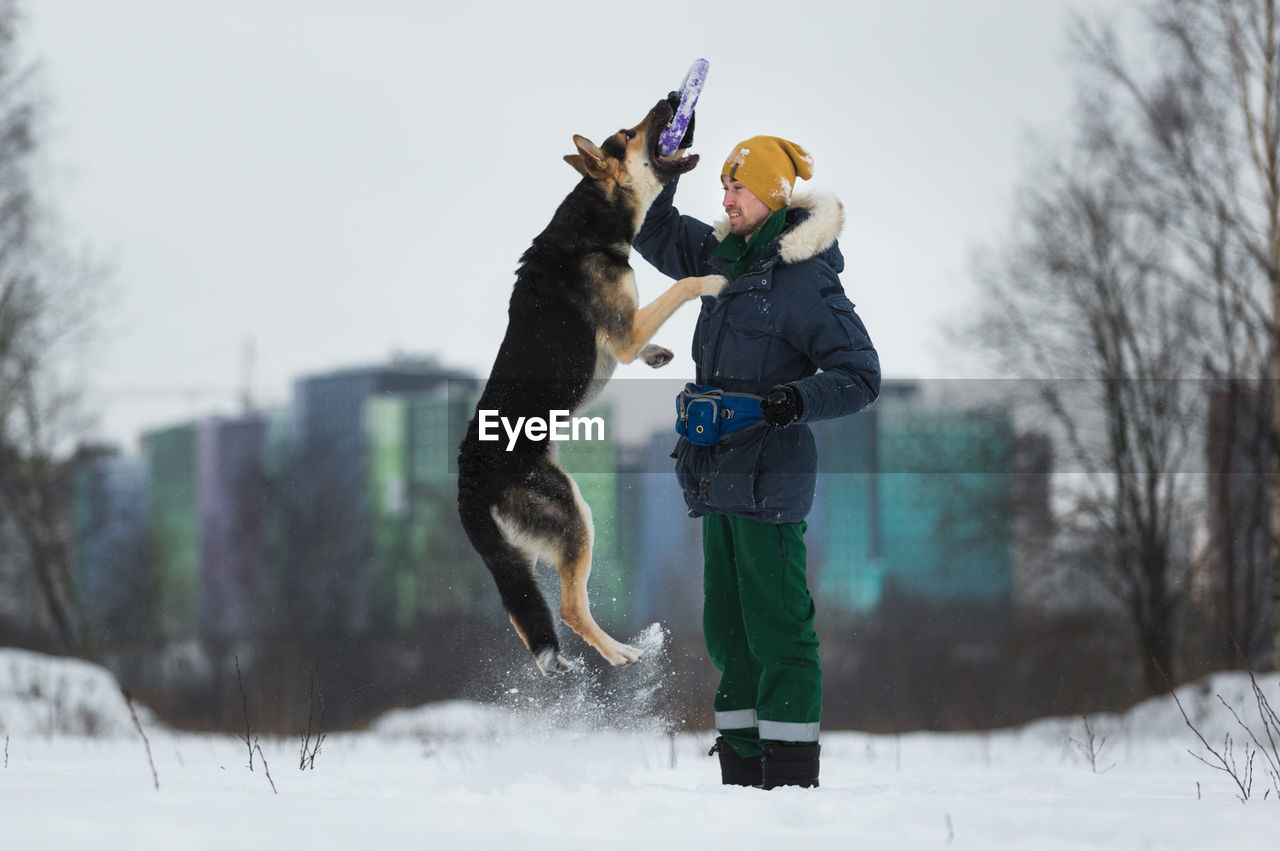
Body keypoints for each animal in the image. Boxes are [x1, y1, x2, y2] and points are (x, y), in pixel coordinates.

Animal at [458, 99, 721, 675]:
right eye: (629, 132)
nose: (672, 97)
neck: (590, 224)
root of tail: (468, 485)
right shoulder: (623, 333)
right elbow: (680, 287)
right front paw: (715, 280)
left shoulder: (629, 333)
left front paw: (658, 355)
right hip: (575, 515)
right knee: (569, 608)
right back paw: (619, 652)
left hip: (525, 554)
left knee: (527, 615)